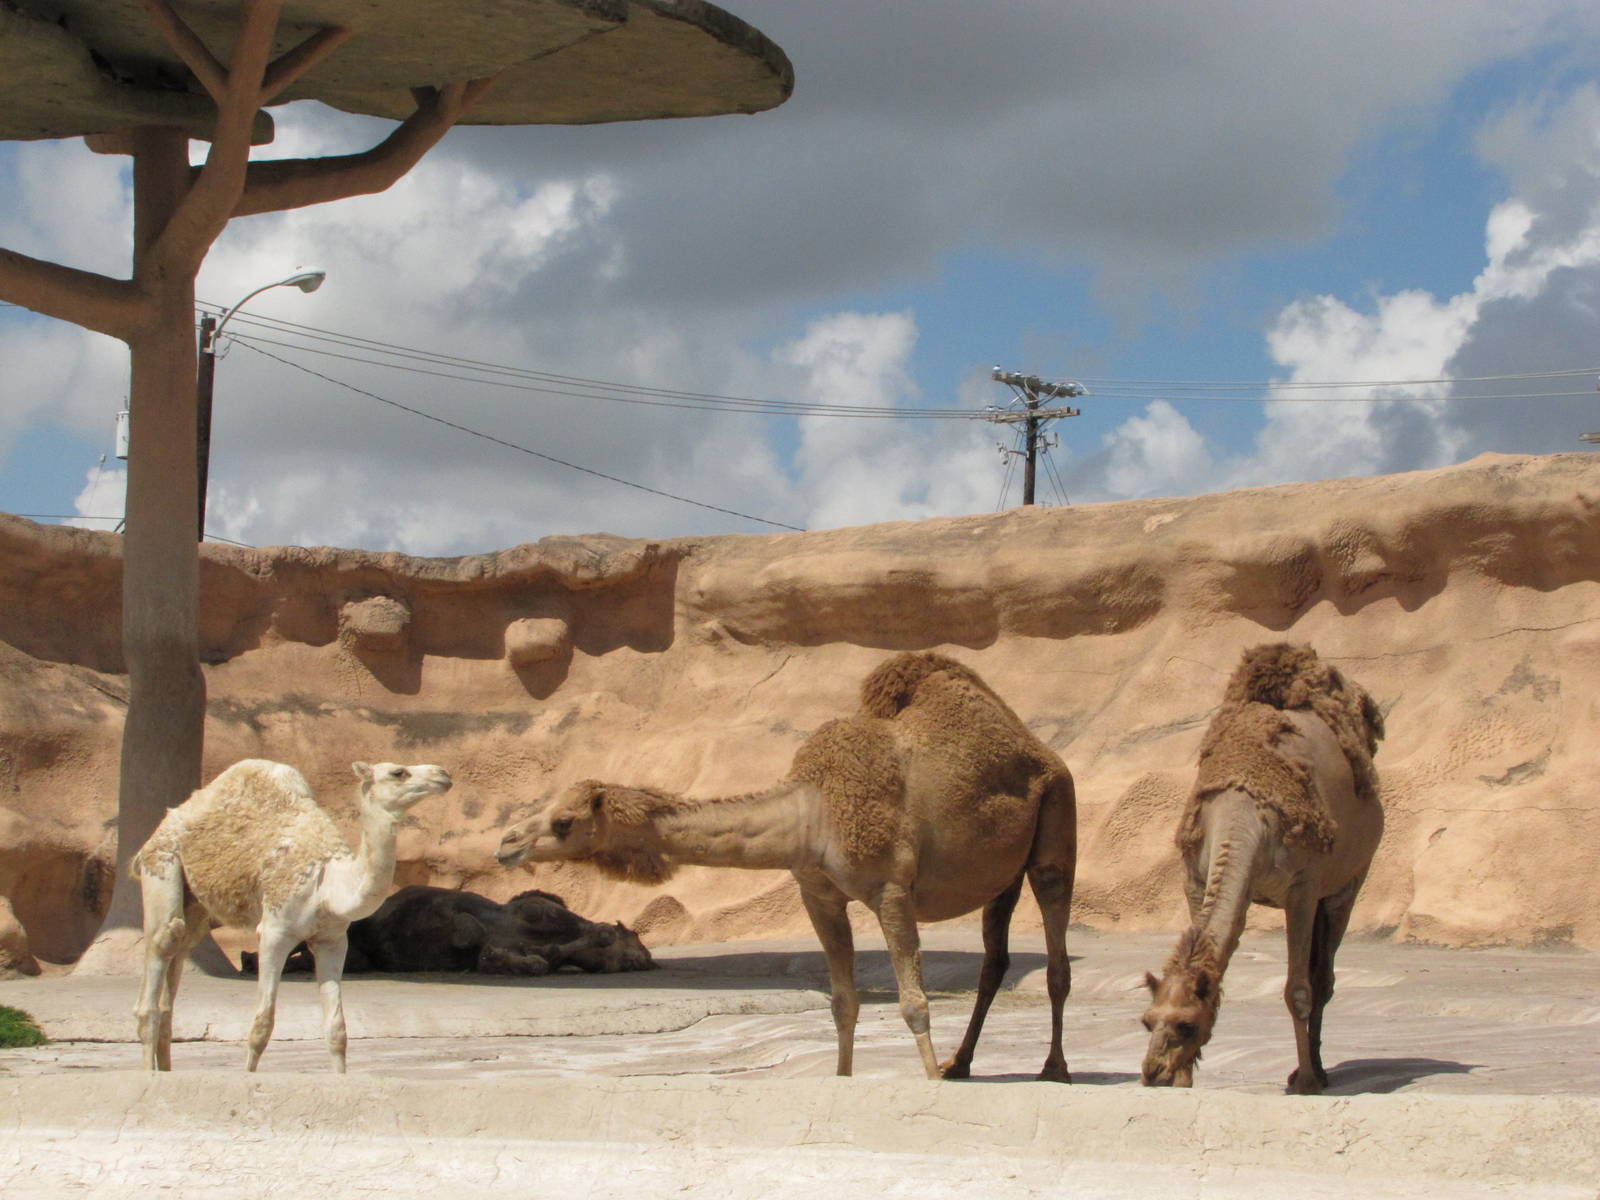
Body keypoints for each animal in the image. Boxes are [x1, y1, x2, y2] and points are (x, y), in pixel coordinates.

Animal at [130, 758, 452, 1073]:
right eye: (399, 772)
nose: (443, 774)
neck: (329, 885)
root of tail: (170, 818)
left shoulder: (333, 940)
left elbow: (337, 1030)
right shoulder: (275, 931)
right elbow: (261, 1026)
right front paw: (248, 1078)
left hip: (198, 904)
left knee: (180, 952)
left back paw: (165, 1069)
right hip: (162, 863)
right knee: (164, 941)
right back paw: (148, 1070)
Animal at [497, 651, 1077, 1081]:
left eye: (564, 822)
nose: (506, 843)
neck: (813, 811)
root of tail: (1037, 746)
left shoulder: (892, 889)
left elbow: (914, 1002)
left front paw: (930, 1082)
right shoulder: (818, 893)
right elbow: (843, 1003)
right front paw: (846, 1080)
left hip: (1057, 817)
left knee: (1055, 959)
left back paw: (1054, 1069)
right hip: (1000, 873)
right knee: (995, 961)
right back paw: (962, 1063)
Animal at [1141, 643, 1384, 1094]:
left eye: (1186, 1025)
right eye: (1147, 1021)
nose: (1153, 1074)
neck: (1241, 814)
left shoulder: (1302, 889)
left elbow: (1298, 990)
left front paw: (1305, 1081)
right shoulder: (1195, 881)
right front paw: (1184, 1079)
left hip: (1346, 883)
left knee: (1323, 976)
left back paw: (1318, 1071)